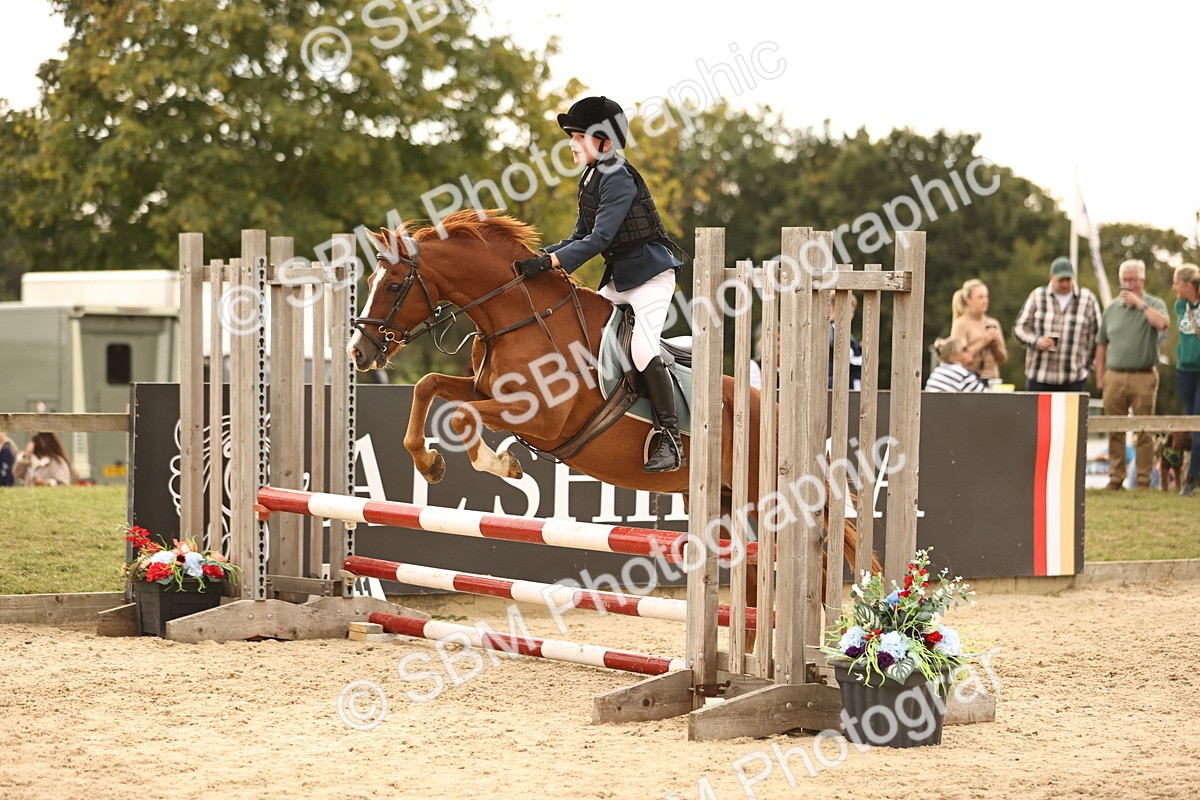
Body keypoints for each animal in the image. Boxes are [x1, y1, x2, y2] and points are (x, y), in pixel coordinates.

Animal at [346, 210, 880, 641]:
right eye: (371, 282)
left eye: (393, 285)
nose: (359, 353)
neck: (519, 318)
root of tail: (777, 410)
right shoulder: (486, 391)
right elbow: (429, 386)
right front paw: (429, 462)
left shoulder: (542, 417)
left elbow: (463, 416)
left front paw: (501, 464)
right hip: (724, 502)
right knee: (750, 576)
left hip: (766, 499)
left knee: (813, 563)